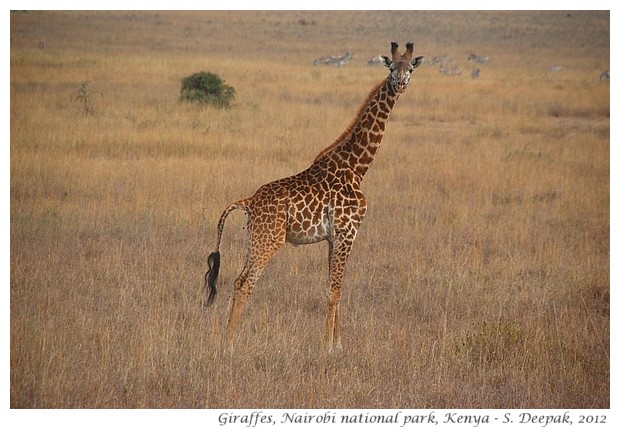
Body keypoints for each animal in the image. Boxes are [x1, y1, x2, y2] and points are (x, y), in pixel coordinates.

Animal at [206, 40, 424, 350]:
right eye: (391, 67)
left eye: (411, 69)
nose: (400, 84)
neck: (357, 166)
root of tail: (248, 202)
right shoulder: (348, 232)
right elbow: (335, 290)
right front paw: (328, 347)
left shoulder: (334, 237)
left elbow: (332, 287)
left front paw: (339, 344)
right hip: (269, 240)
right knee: (247, 282)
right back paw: (230, 343)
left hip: (256, 238)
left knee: (237, 280)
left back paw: (226, 337)